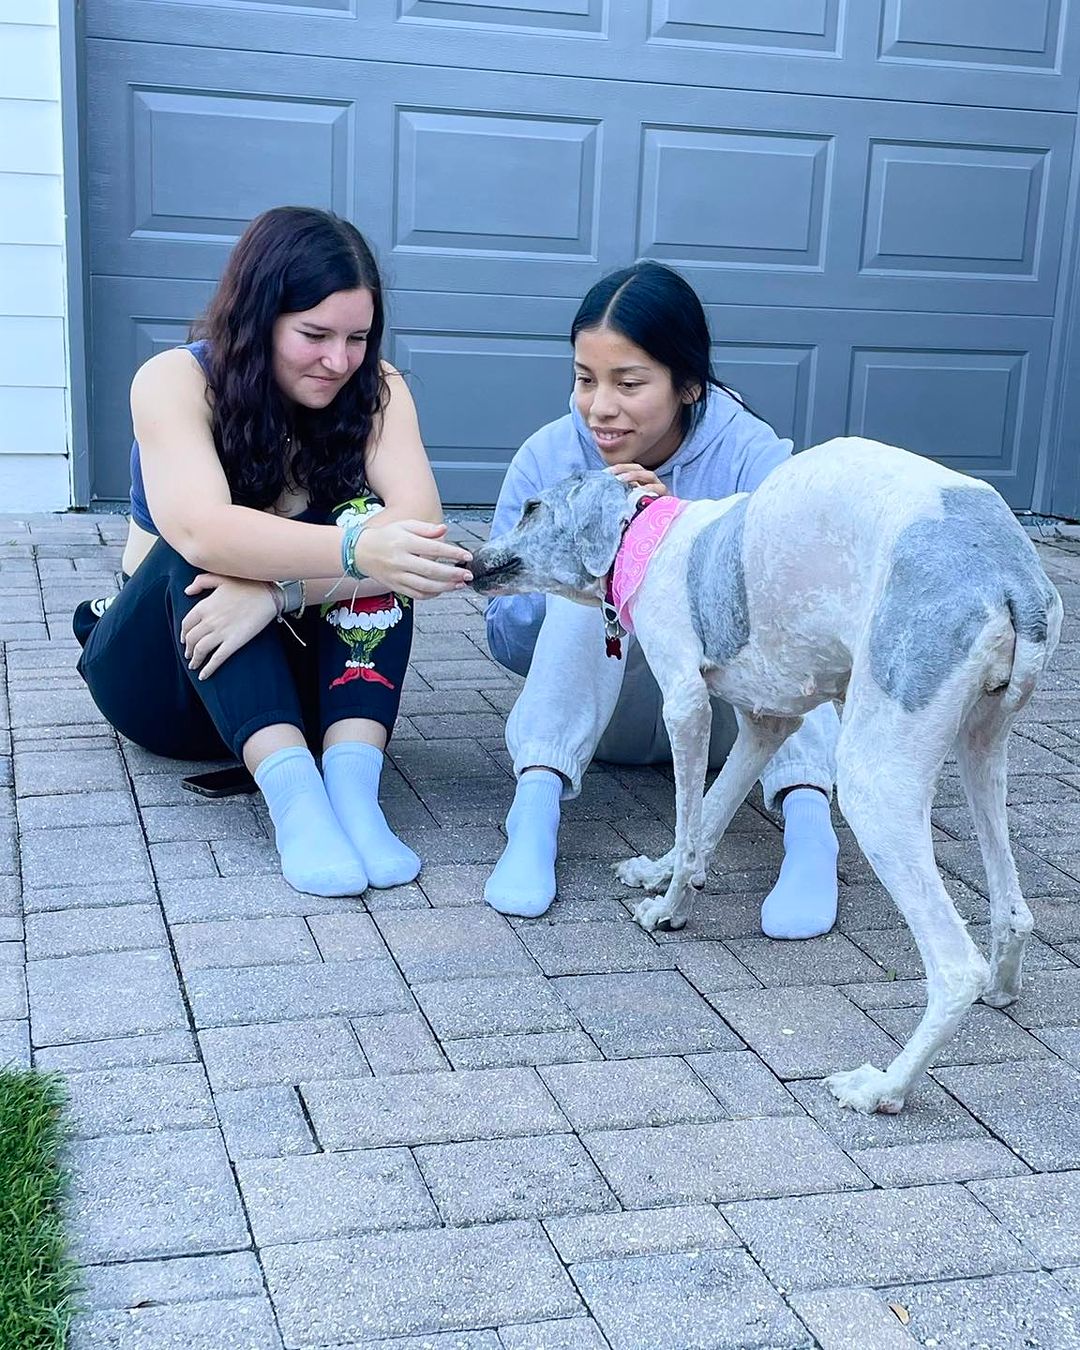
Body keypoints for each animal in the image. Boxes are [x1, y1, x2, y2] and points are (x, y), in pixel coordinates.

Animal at [472, 437, 1063, 1112]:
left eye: (531, 508)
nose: (470, 561)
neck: (646, 538)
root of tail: (1010, 572)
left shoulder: (687, 705)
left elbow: (689, 817)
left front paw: (668, 910)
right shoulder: (765, 722)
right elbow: (707, 816)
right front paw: (661, 873)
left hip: (877, 778)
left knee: (953, 966)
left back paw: (883, 1087)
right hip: (982, 745)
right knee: (1013, 910)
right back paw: (1001, 986)